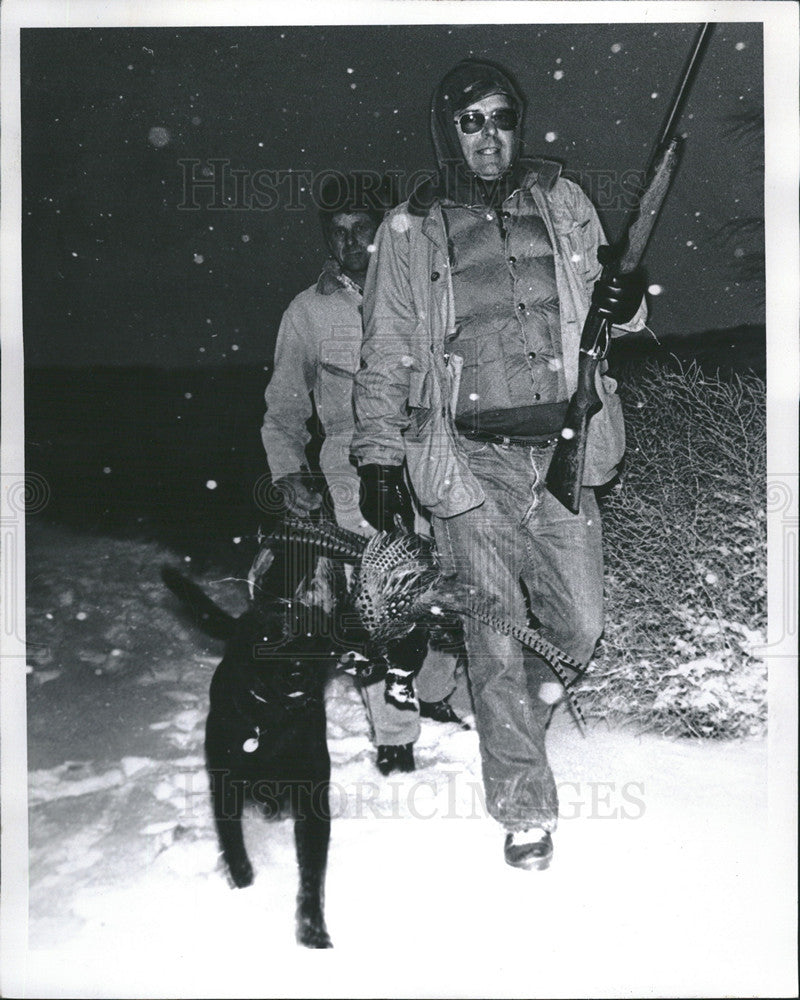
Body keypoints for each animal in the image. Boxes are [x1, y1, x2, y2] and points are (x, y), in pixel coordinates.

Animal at [161, 560, 358, 948]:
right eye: (267, 638)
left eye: (310, 636)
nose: (297, 670)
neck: (271, 721)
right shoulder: (225, 787)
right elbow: (233, 843)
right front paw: (243, 883)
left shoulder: (312, 798)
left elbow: (312, 874)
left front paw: (312, 929)